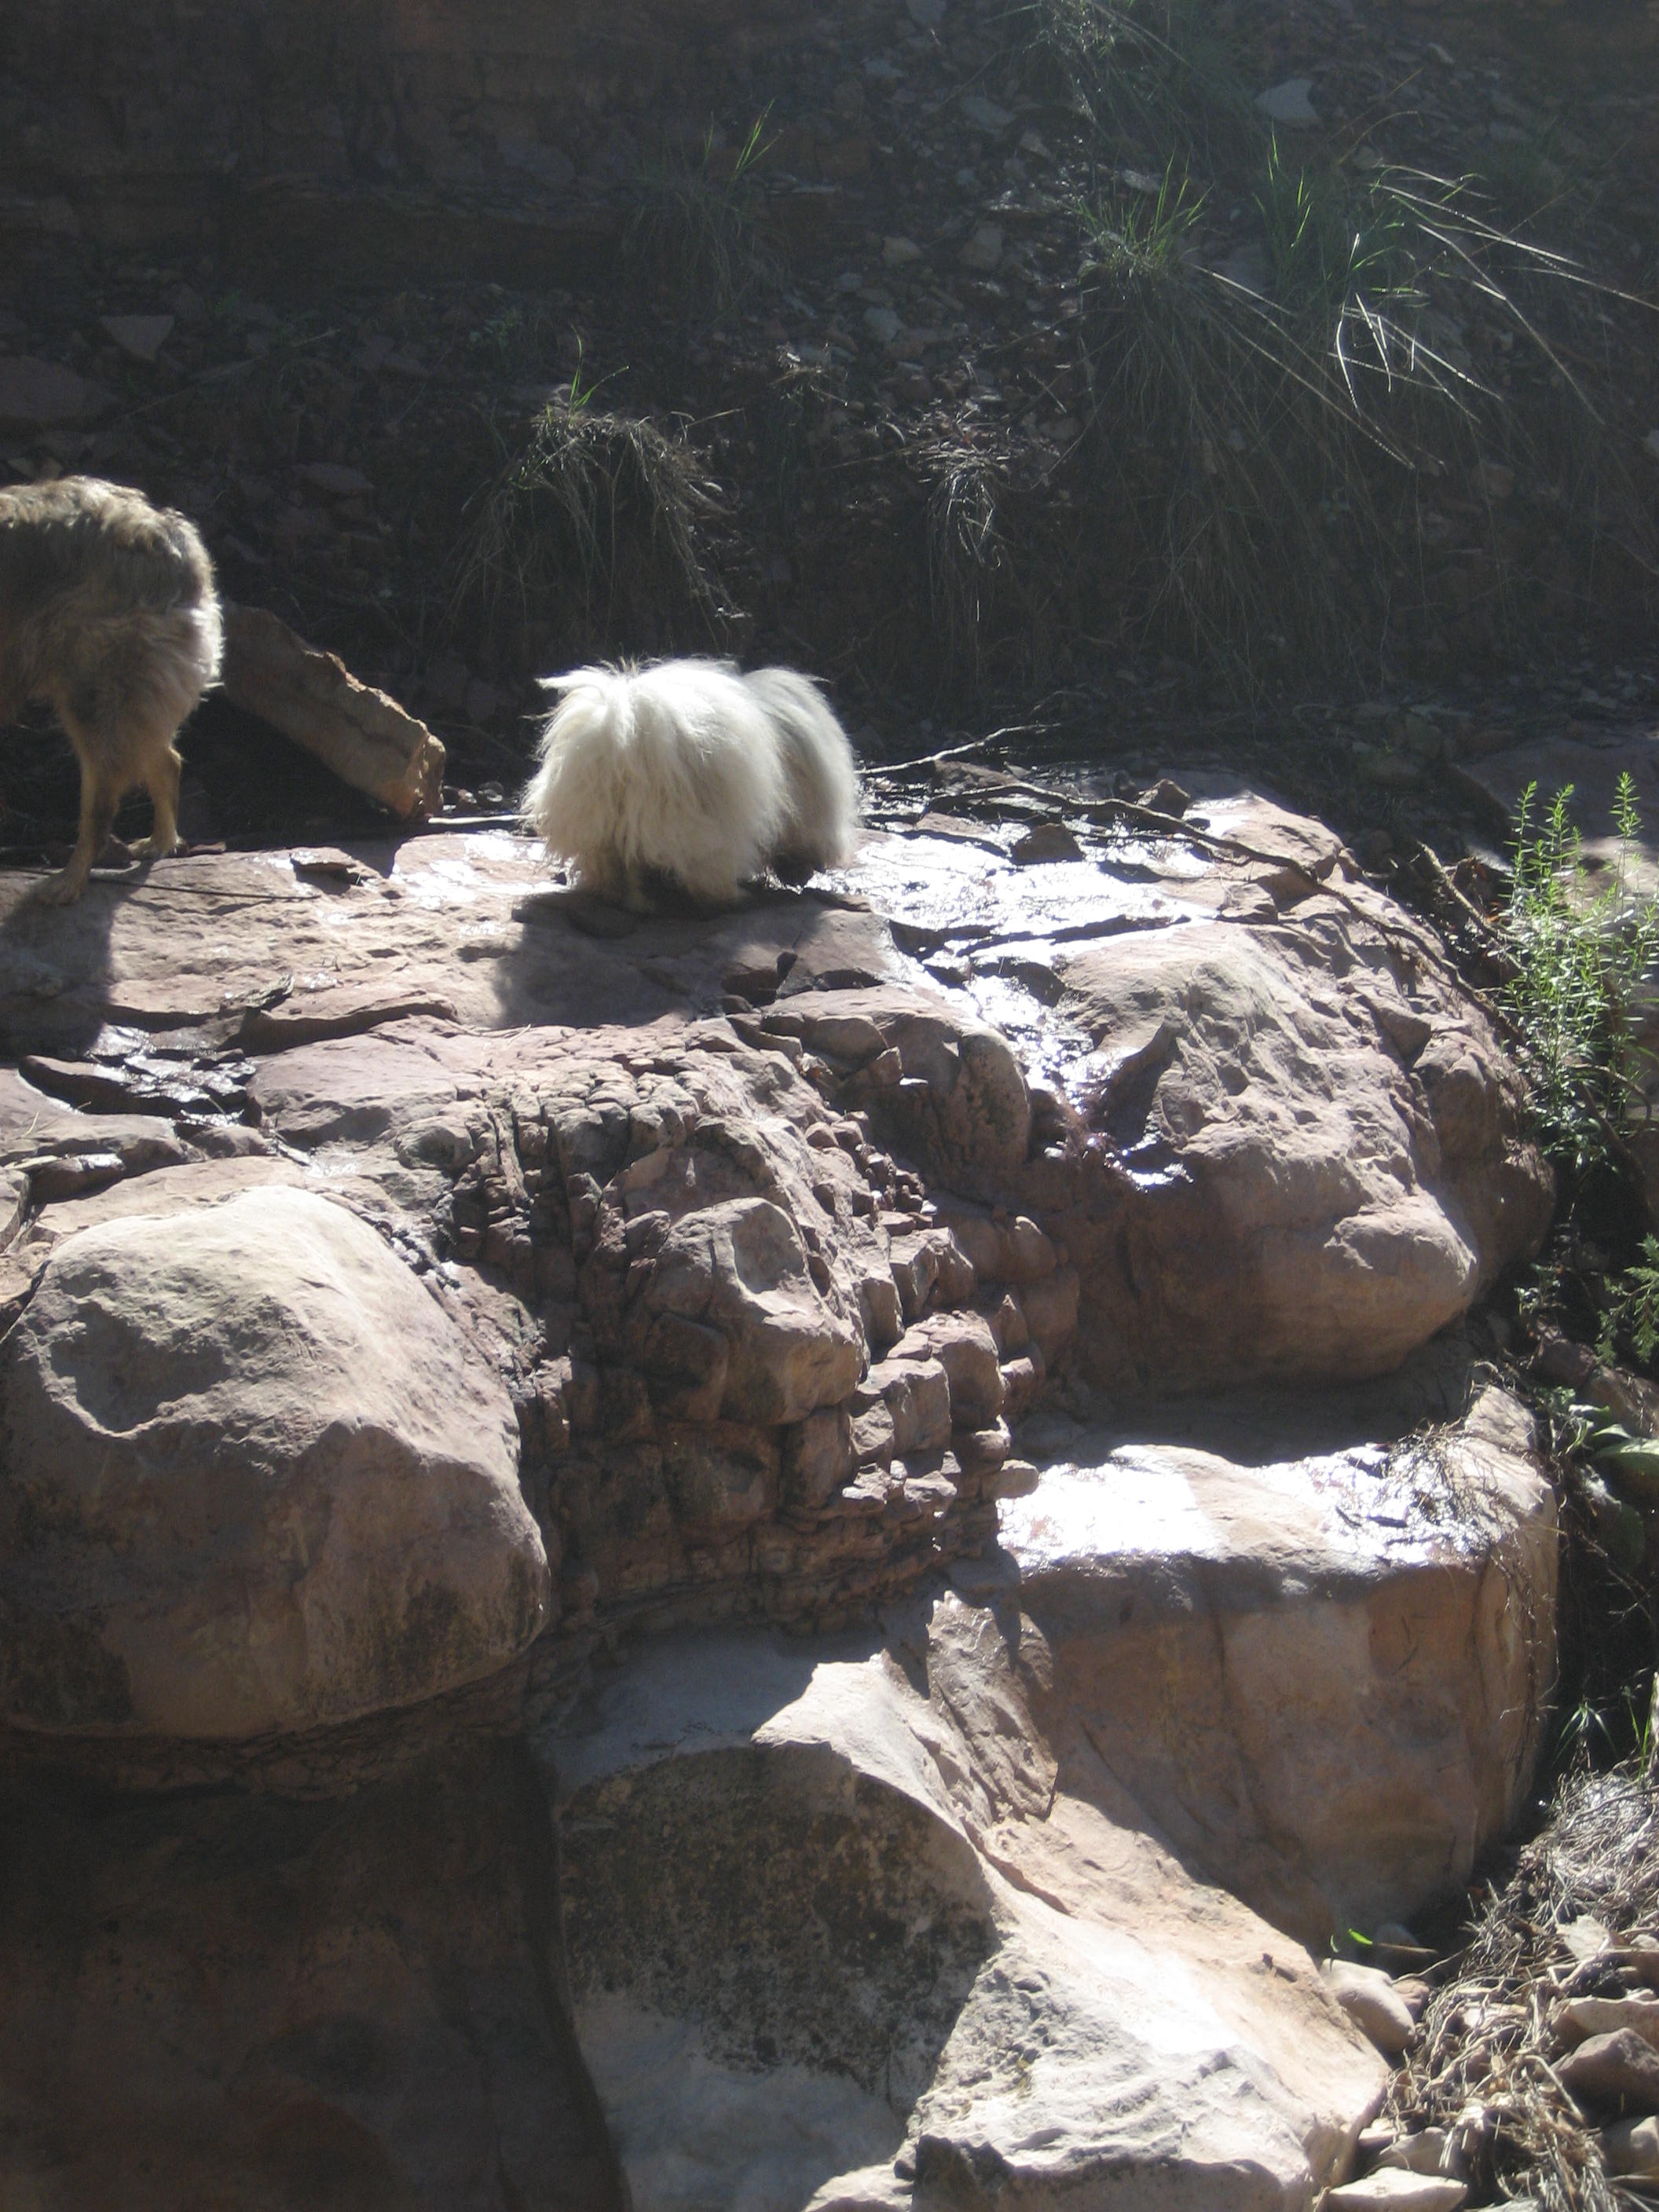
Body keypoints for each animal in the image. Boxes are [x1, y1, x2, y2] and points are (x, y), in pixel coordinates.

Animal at [0, 476, 222, 903]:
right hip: (131, 701)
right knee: (167, 761)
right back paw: (160, 842)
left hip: (93, 694)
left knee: (102, 803)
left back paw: (70, 881)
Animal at [521, 657, 861, 909]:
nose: (806, 875)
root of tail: (620, 739)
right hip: (698, 833)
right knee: (704, 876)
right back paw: (732, 897)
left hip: (599, 828)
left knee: (615, 869)